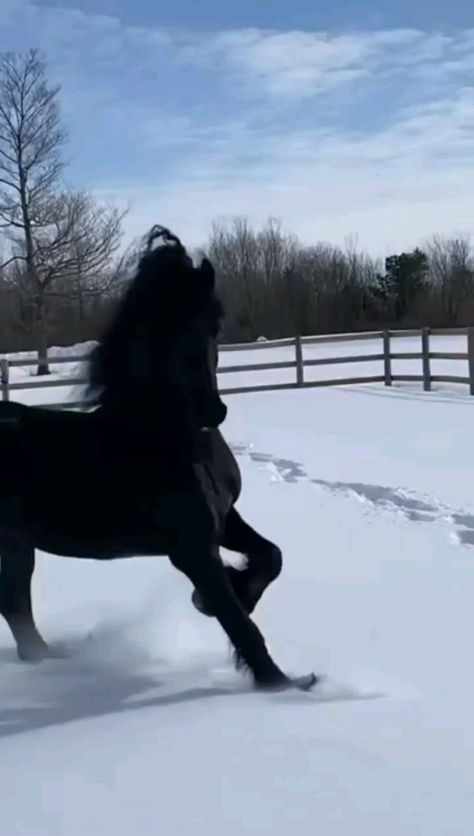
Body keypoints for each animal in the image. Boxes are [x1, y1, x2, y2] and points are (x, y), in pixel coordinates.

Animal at [0, 225, 318, 688]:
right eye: (162, 323)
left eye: (214, 322)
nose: (210, 411)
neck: (169, 440)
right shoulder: (191, 548)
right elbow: (240, 624)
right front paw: (284, 685)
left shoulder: (225, 518)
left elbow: (271, 557)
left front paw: (221, 597)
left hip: (17, 544)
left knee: (18, 610)